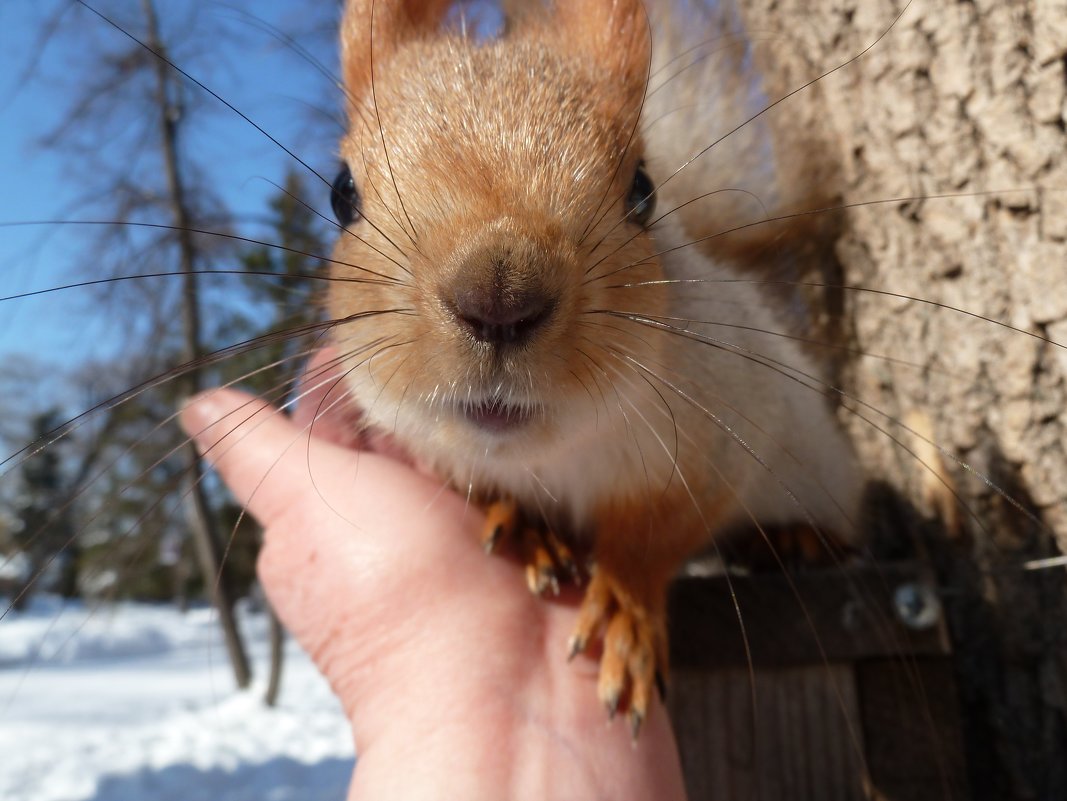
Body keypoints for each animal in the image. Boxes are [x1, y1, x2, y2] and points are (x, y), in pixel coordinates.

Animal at [320, 0, 862, 738]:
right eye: (340, 194)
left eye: (643, 189)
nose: (498, 297)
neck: (550, 453)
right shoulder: (437, 454)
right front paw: (526, 530)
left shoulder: (718, 441)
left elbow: (653, 534)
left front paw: (624, 612)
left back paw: (798, 535)